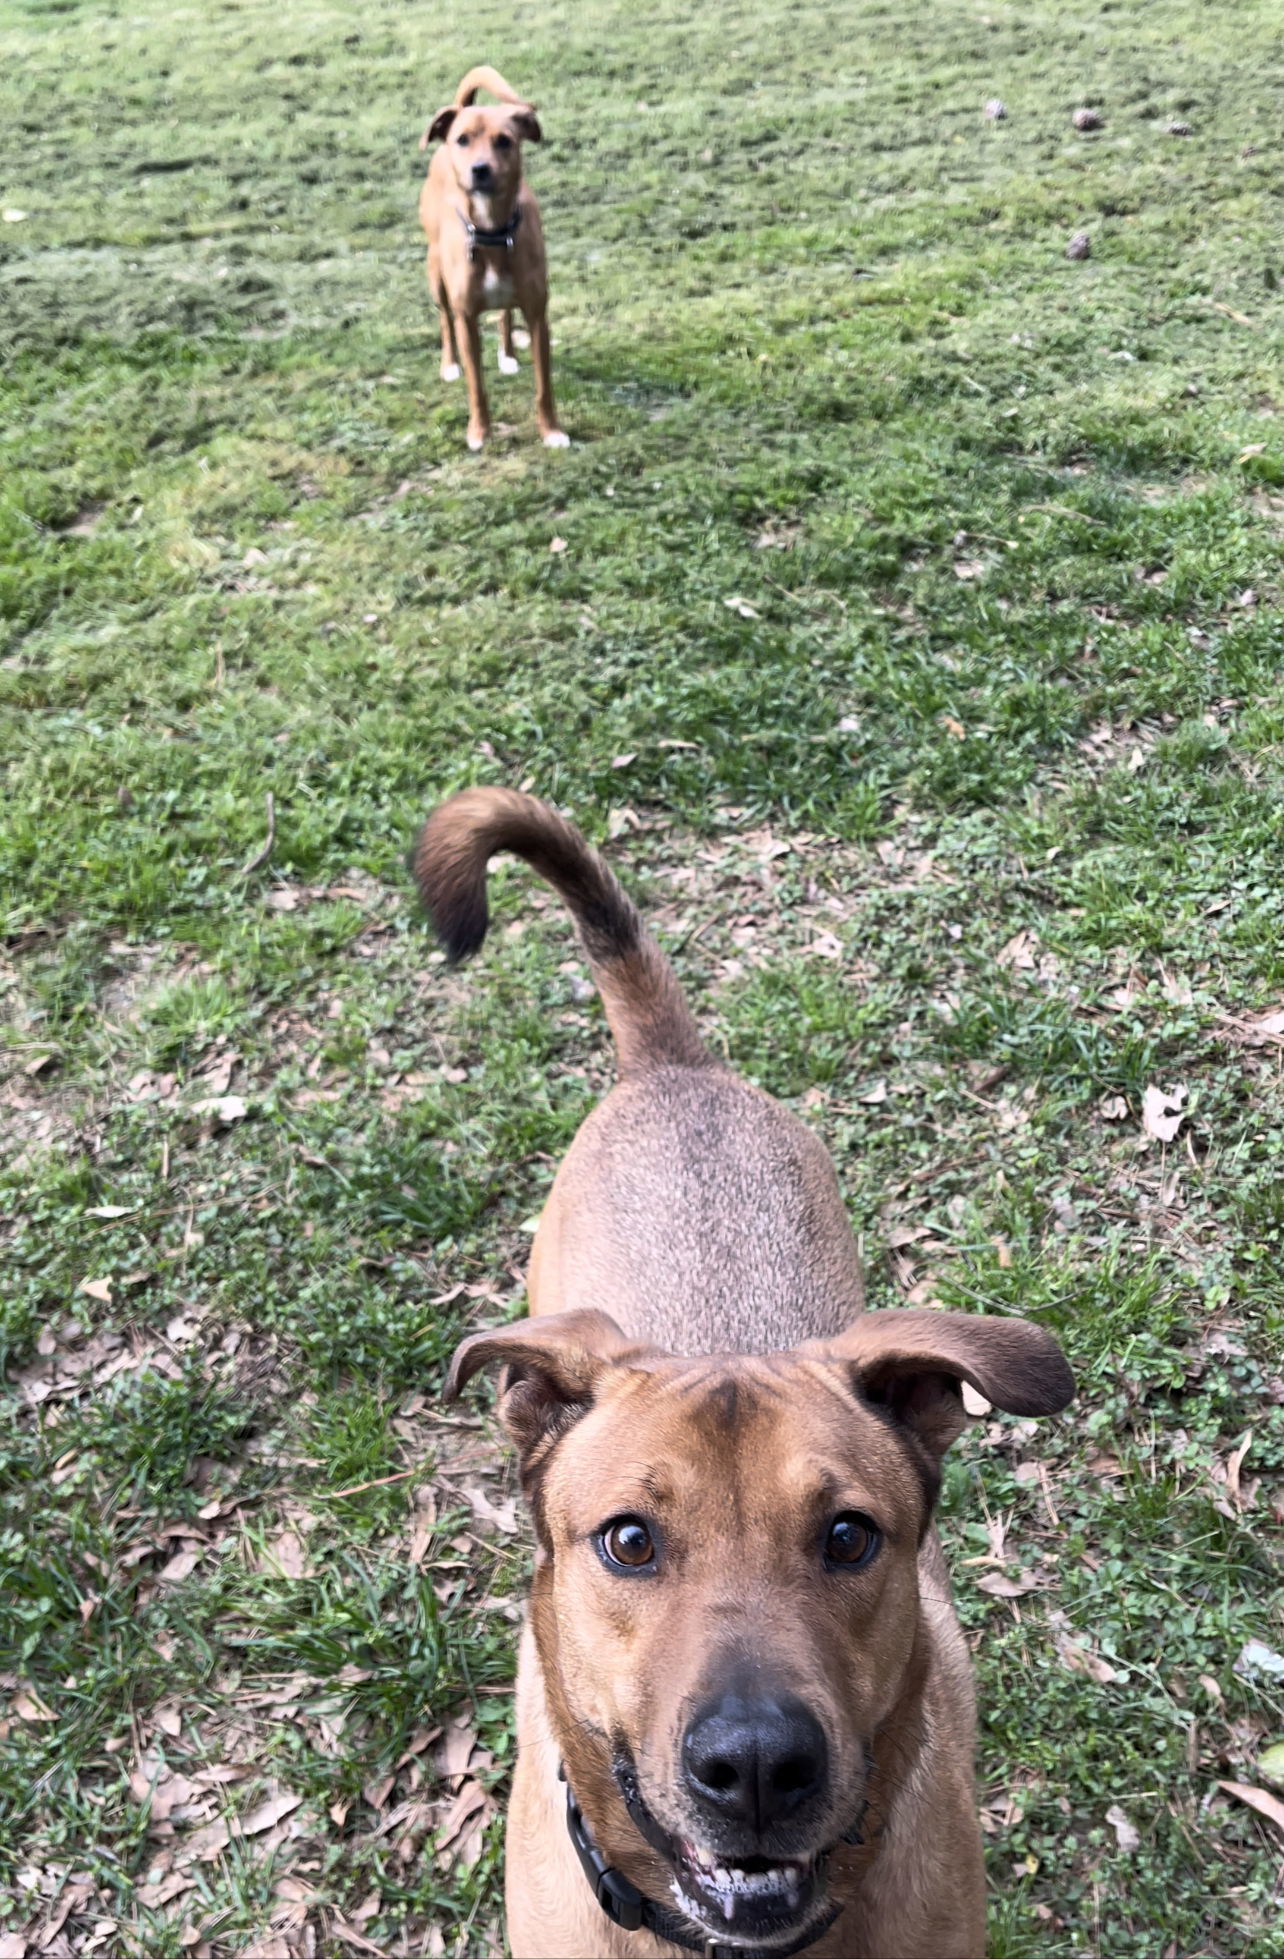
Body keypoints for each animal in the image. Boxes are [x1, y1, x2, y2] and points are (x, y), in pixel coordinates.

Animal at [419, 63, 568, 452]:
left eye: (505, 140)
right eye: (463, 140)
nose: (480, 169)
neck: (492, 230)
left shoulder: (537, 316)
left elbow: (544, 388)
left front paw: (552, 431)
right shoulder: (467, 320)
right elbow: (477, 387)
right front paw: (479, 432)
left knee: (504, 312)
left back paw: (508, 355)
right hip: (435, 274)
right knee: (444, 320)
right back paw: (449, 365)